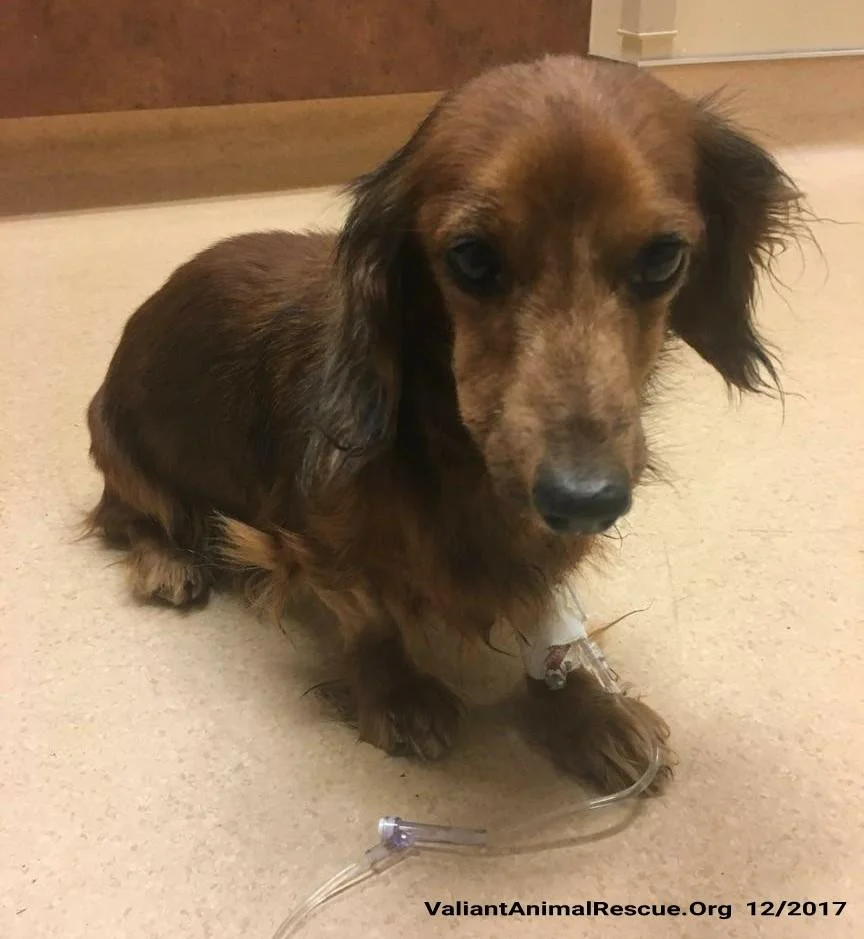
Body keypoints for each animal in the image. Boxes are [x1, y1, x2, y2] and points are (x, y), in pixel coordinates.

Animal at [86, 55, 802, 793]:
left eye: (663, 258)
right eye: (472, 258)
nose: (583, 499)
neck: (450, 452)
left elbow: (547, 620)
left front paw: (586, 709)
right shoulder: (308, 537)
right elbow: (367, 612)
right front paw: (398, 691)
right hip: (124, 457)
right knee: (126, 516)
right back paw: (167, 561)